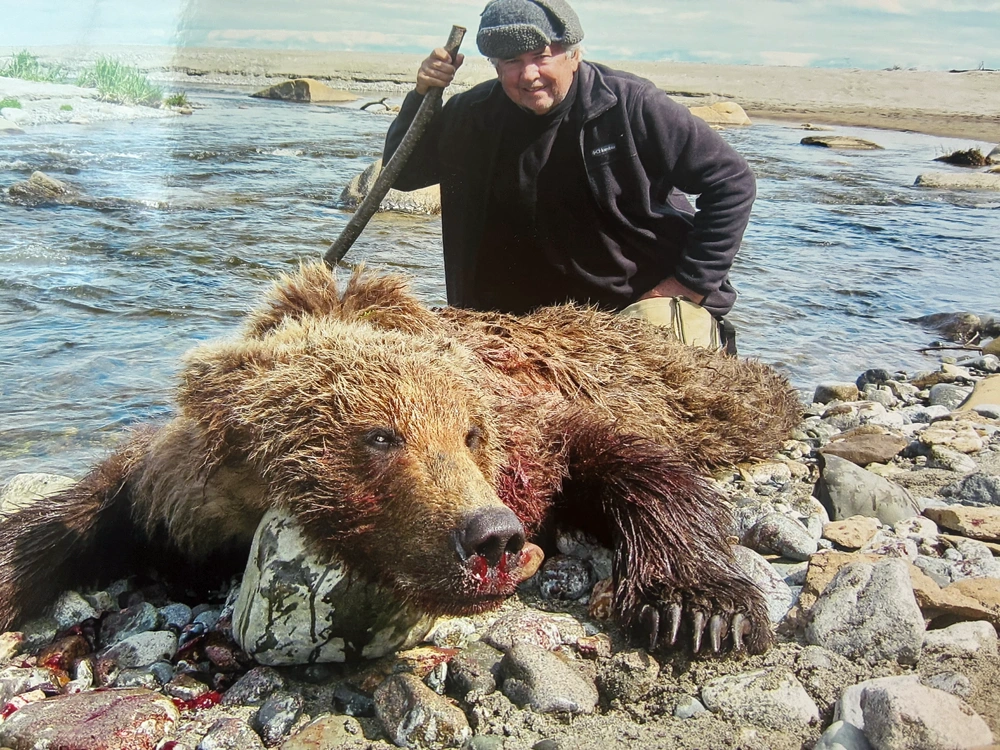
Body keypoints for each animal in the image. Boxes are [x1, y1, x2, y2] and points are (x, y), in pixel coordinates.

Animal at [0, 262, 801, 655]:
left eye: (471, 433)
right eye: (382, 436)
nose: (493, 537)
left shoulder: (537, 424)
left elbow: (634, 463)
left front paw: (700, 607)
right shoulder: (169, 486)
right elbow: (78, 510)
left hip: (682, 381)